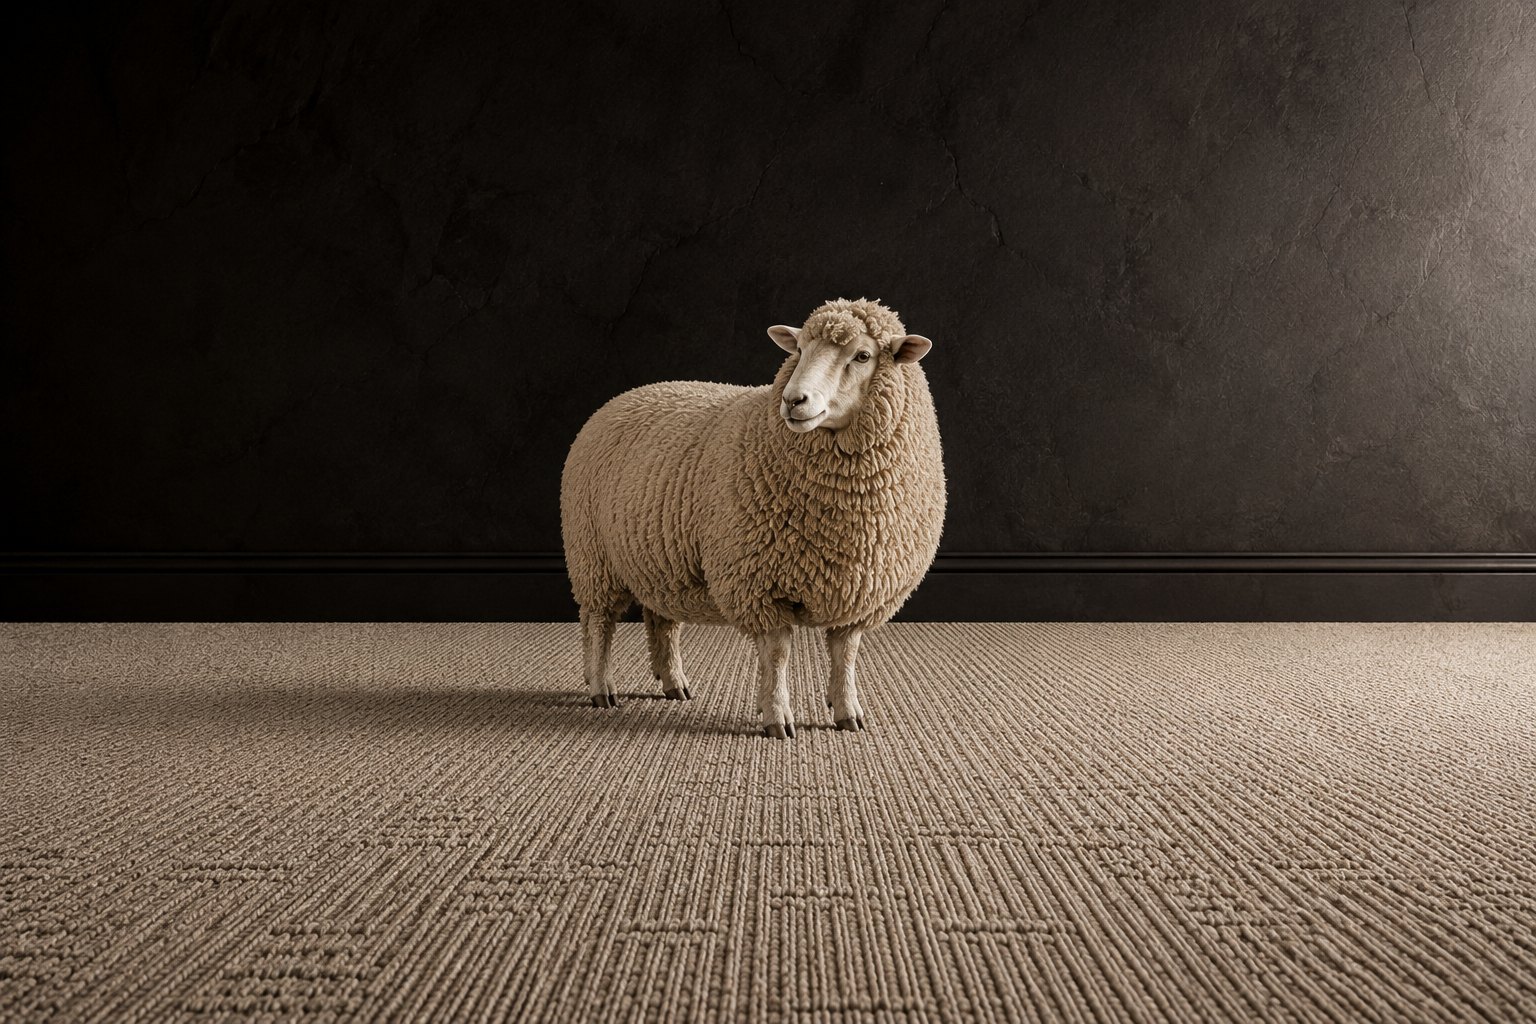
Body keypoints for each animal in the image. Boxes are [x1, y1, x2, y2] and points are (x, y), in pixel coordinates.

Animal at [560, 298, 945, 738]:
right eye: (799, 350)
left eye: (863, 356)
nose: (794, 400)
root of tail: (615, 402)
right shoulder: (759, 583)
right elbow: (777, 655)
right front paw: (777, 717)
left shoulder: (856, 592)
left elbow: (845, 655)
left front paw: (848, 712)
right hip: (593, 558)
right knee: (598, 623)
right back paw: (600, 687)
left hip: (660, 561)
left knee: (661, 621)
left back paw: (673, 683)